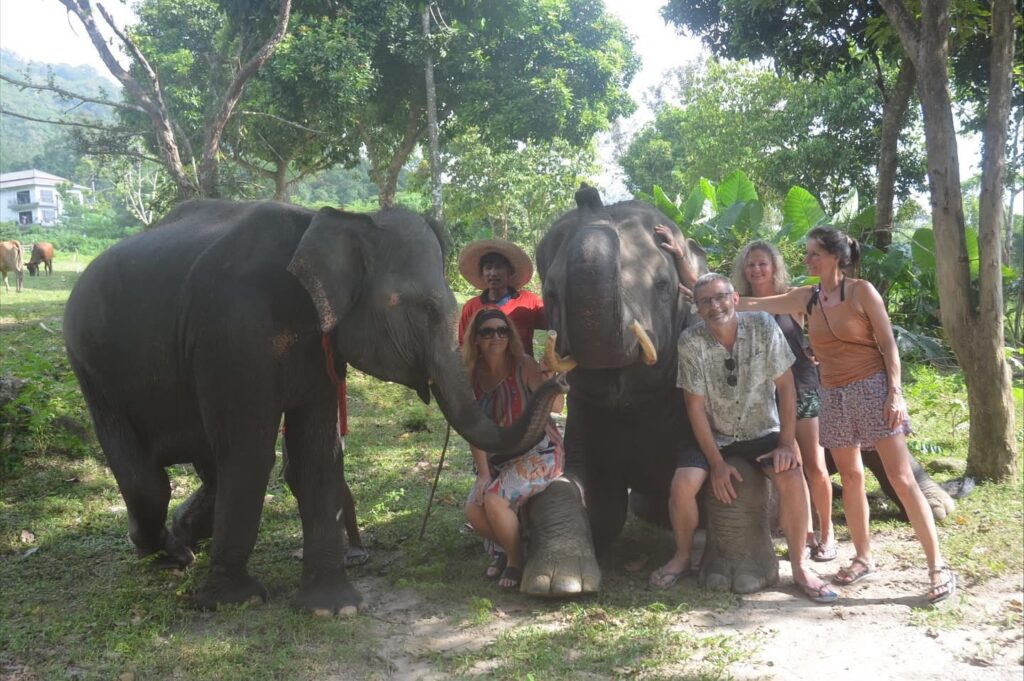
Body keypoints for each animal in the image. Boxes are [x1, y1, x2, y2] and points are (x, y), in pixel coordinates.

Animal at [63, 199, 563, 614]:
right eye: (425, 308)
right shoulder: (233, 332)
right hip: (91, 368)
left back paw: (186, 539)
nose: (555, 375)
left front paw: (333, 608)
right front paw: (235, 601)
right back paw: (171, 552)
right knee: (150, 481)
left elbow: (317, 455)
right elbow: (251, 454)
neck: (330, 222)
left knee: (205, 465)